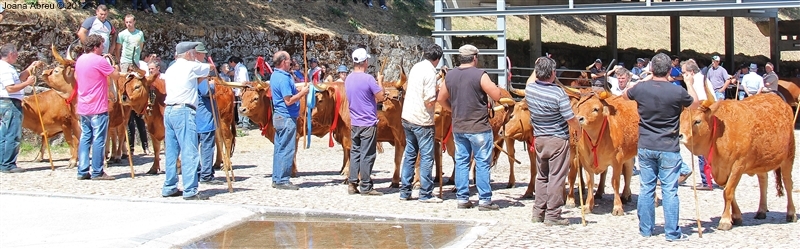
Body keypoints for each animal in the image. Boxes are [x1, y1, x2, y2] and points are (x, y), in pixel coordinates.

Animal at [680, 87, 792, 230]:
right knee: (763, 181)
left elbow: (728, 191)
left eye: (697, 121)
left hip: (789, 155)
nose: (680, 135)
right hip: (760, 160)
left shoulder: (738, 165)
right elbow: (730, 191)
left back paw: (791, 213)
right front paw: (736, 216)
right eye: (679, 120)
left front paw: (725, 220)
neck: (719, 133)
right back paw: (761, 210)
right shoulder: (720, 169)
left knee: (788, 183)